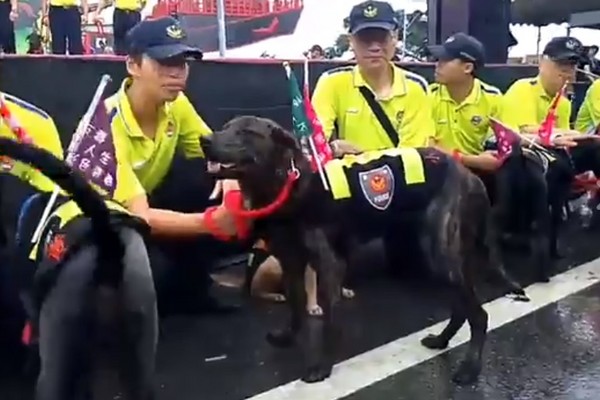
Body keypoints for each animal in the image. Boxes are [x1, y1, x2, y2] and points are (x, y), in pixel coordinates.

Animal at [200, 115, 524, 384]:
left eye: (246, 132)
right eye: (226, 127)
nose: (205, 140)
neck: (286, 186)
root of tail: (471, 177)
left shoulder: (329, 266)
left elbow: (329, 322)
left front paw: (322, 367)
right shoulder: (291, 263)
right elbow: (296, 307)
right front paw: (289, 336)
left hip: (440, 255)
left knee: (478, 316)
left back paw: (470, 369)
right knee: (461, 308)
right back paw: (441, 341)